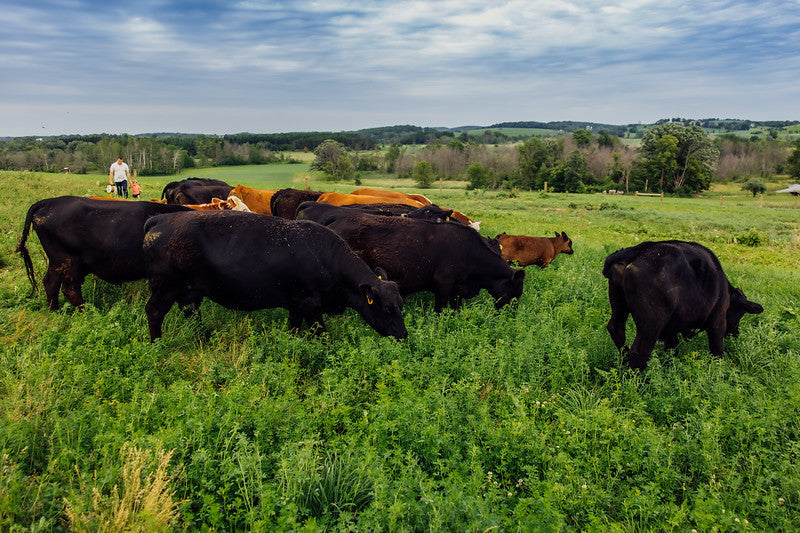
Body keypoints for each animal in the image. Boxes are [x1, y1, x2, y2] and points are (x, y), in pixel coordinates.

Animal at [17, 196, 193, 310]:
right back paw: (85, 312)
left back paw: (55, 311)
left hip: (58, 263)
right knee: (69, 289)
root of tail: (48, 202)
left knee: (50, 283)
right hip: (66, 261)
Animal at [141, 210, 408, 341]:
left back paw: (204, 338)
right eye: (387, 308)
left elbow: (293, 330)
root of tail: (160, 218)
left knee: (191, 312)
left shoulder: (296, 306)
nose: (403, 335)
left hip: (190, 291)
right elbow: (322, 335)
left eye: (401, 304)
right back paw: (157, 344)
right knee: (154, 311)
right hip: (165, 287)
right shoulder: (311, 305)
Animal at [302, 211, 525, 311]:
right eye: (515, 292)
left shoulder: (457, 290)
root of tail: (336, 221)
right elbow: (440, 310)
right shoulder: (443, 285)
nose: (511, 314)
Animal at [602, 240, 763, 369]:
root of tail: (637, 251)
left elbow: (672, 349)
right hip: (650, 325)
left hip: (619, 307)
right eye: (740, 312)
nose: (735, 333)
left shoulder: (671, 329)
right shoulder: (718, 321)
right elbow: (717, 350)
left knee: (617, 330)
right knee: (639, 351)